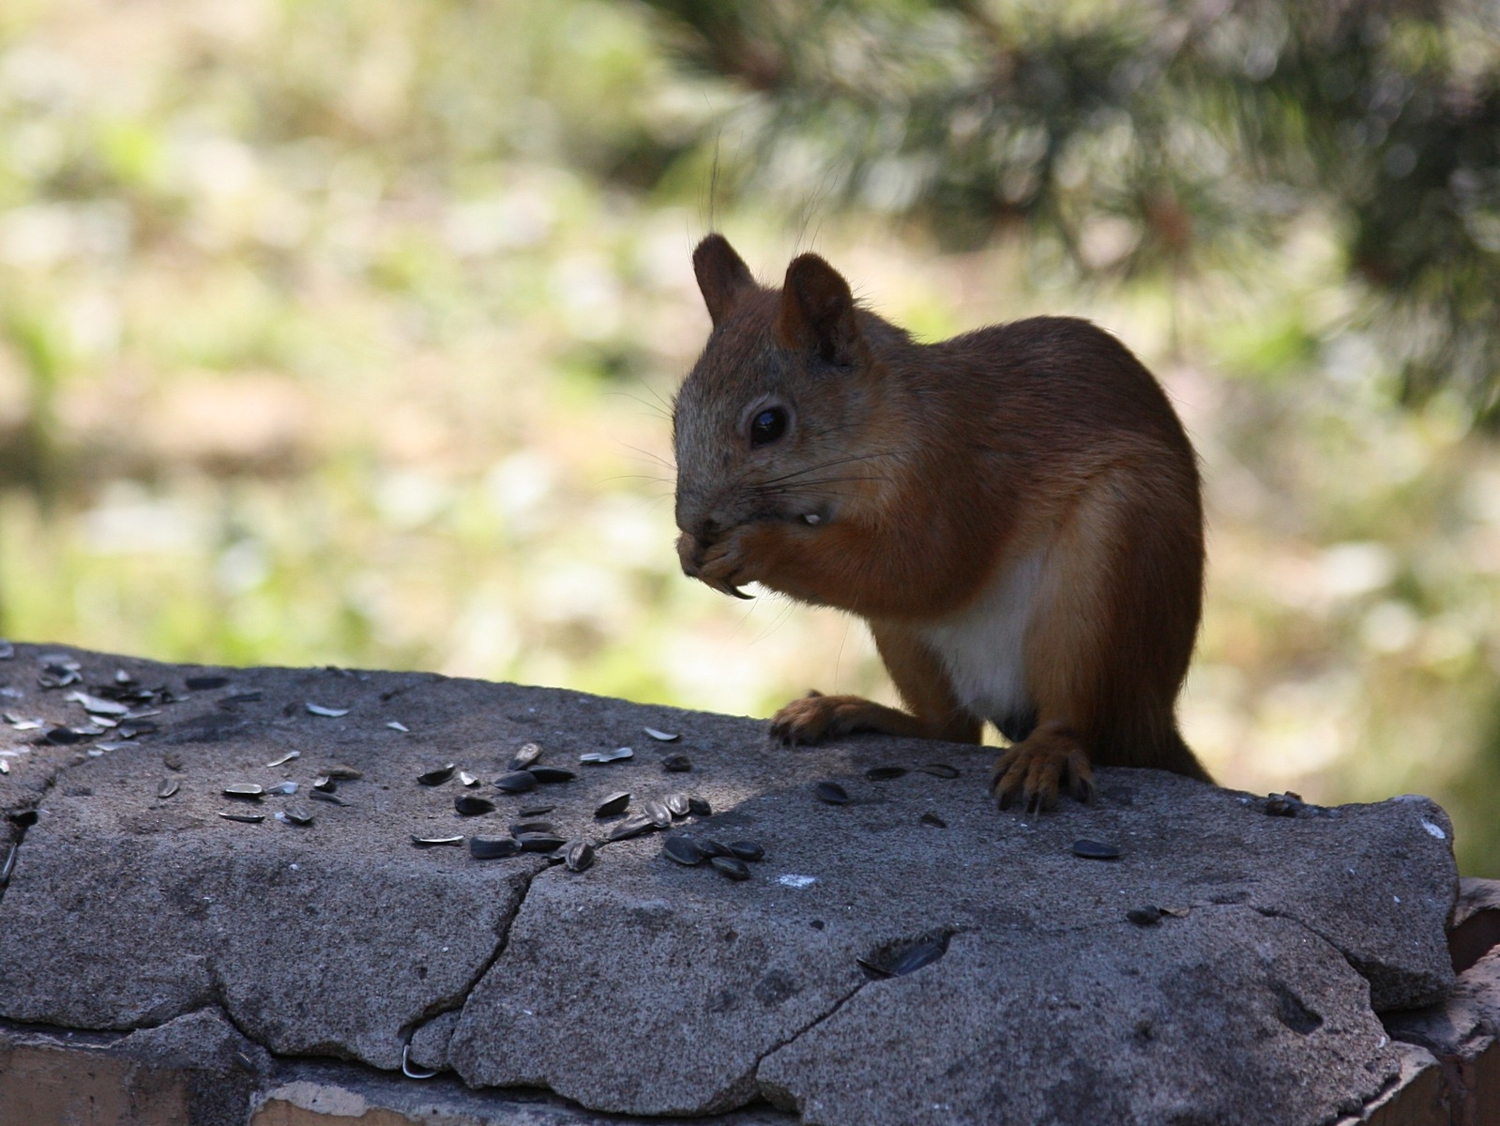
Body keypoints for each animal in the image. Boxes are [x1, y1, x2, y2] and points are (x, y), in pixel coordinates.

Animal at [675, 235, 1212, 809]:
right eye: (678, 412)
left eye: (768, 425)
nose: (693, 518)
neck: (884, 424)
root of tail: (1154, 721)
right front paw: (688, 549)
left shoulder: (953, 477)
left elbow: (921, 571)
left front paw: (754, 547)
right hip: (906, 640)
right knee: (949, 729)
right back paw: (847, 710)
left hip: (1108, 570)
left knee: (1074, 714)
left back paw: (1047, 751)